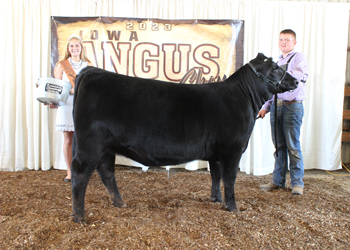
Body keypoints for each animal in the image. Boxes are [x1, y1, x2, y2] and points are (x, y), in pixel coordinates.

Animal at [71, 52, 298, 223]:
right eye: (275, 68)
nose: (296, 80)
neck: (243, 97)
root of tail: (92, 71)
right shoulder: (232, 149)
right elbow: (229, 178)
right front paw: (232, 206)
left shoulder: (215, 153)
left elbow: (215, 175)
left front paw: (215, 199)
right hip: (89, 145)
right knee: (80, 174)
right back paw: (80, 217)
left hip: (106, 148)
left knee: (107, 172)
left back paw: (119, 203)